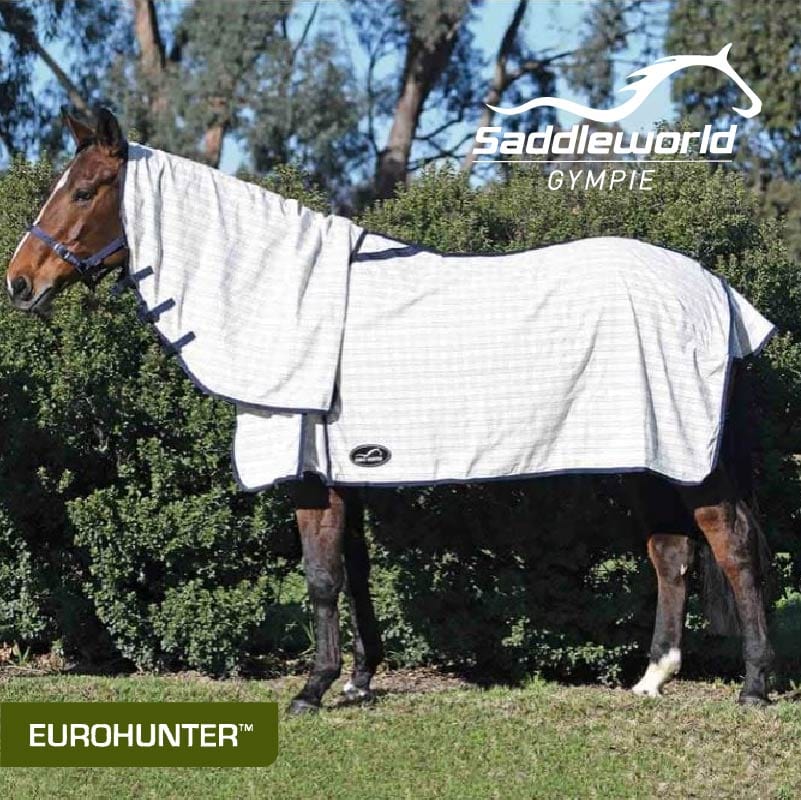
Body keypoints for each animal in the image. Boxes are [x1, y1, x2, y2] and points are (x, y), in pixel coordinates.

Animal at [5, 108, 775, 711]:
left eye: (83, 190)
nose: (19, 282)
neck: (283, 295)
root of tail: (716, 290)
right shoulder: (343, 469)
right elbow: (353, 573)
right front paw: (358, 681)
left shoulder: (309, 475)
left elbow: (320, 578)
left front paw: (313, 689)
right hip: (652, 455)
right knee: (670, 553)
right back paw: (651, 678)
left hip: (691, 460)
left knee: (732, 547)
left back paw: (754, 685)